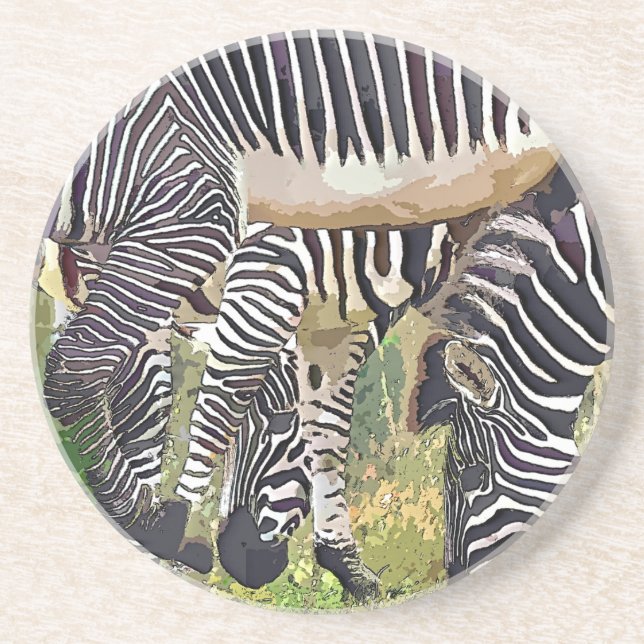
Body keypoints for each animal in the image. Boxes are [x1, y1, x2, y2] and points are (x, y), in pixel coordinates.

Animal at [36, 30, 584, 589]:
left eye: (472, 477)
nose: (242, 561)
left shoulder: (341, 319)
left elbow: (330, 428)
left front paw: (345, 564)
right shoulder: (270, 268)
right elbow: (222, 402)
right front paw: (180, 531)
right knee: (110, 386)